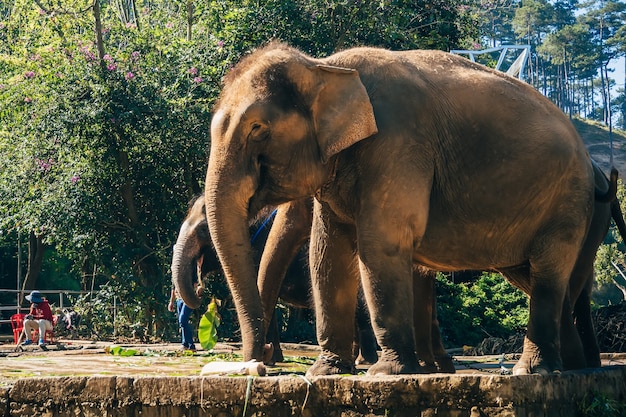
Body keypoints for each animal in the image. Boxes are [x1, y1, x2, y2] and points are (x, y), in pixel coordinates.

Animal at [202, 41, 592, 374]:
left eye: (257, 128)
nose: (259, 363)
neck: (325, 66)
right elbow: (327, 251)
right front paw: (327, 371)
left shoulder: (398, 142)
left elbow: (381, 242)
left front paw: (385, 373)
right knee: (538, 278)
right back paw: (574, 365)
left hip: (567, 202)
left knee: (547, 273)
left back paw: (536, 371)